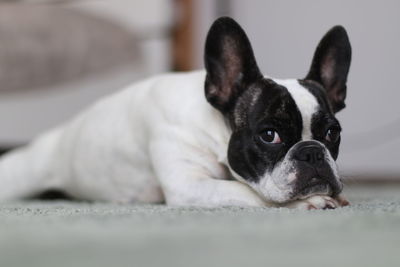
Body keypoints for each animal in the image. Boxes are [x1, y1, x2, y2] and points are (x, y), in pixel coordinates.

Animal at [0, 17, 350, 210]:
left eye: (333, 133)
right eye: (269, 135)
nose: (312, 152)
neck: (214, 129)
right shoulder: (189, 184)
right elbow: (245, 190)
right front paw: (309, 201)